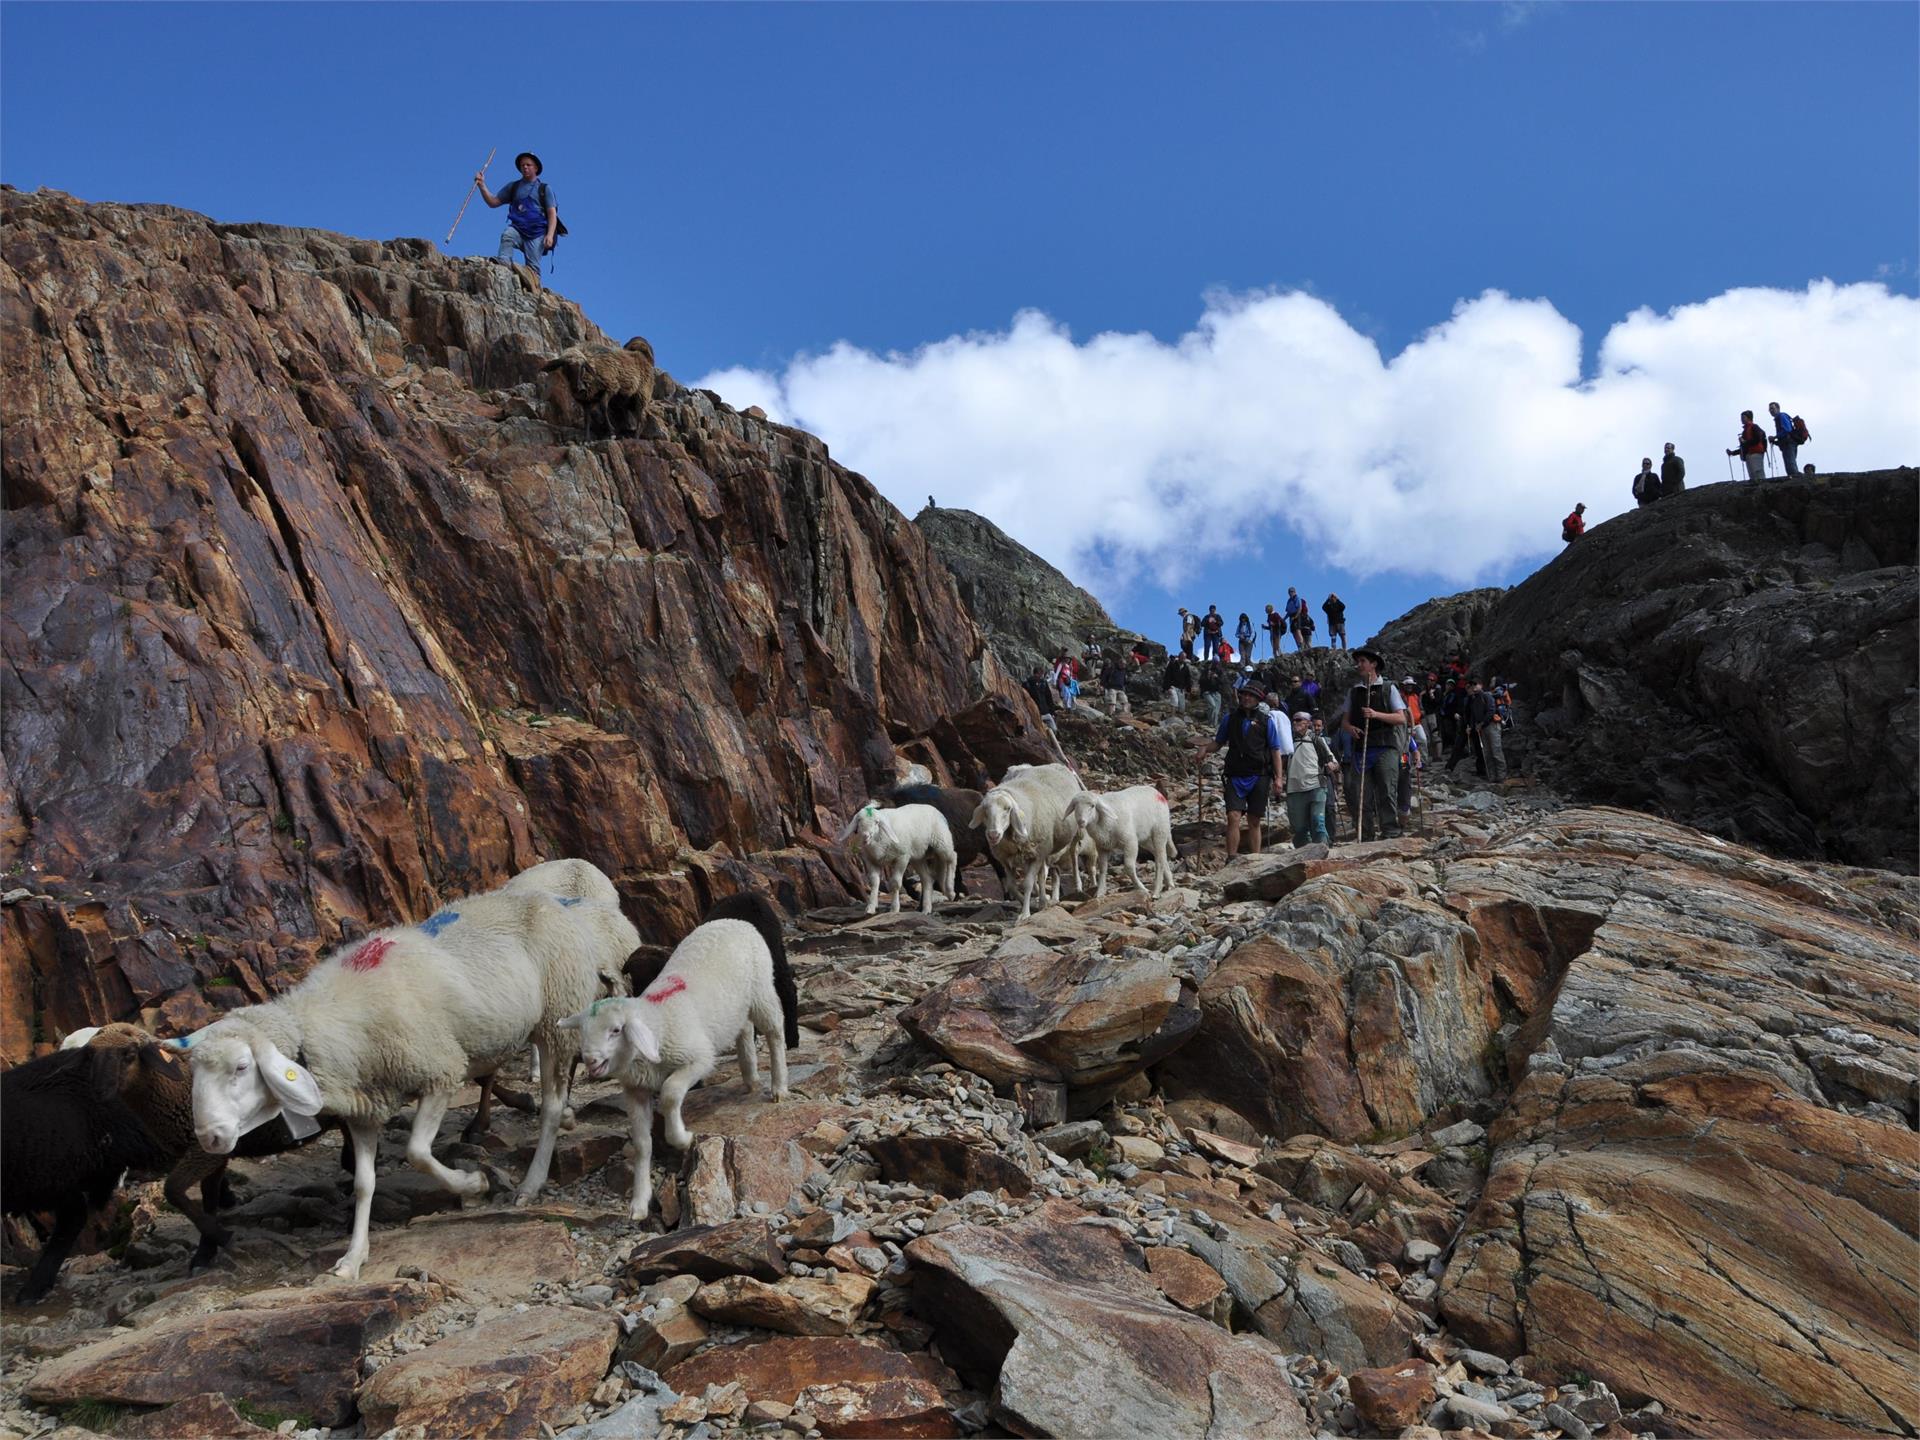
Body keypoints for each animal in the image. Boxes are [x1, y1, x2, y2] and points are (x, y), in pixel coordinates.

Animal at [178, 890, 637, 1282]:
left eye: (241, 1067)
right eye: (195, 1075)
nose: (209, 1137)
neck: (334, 1024)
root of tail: (554, 902)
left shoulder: (440, 1071)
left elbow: (417, 1152)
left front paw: (473, 1184)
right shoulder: (364, 1107)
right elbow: (364, 1184)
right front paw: (352, 1258)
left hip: (555, 1018)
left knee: (551, 1105)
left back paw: (531, 1181)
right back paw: (569, 1123)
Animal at [560, 898, 798, 1221]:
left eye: (616, 1030)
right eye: (582, 1032)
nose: (591, 1061)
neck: (656, 1021)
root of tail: (733, 921)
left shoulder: (696, 1059)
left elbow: (671, 1093)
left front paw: (683, 1138)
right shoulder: (635, 1089)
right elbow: (642, 1144)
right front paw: (639, 1202)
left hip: (762, 989)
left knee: (774, 1031)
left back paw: (779, 1086)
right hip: (735, 1008)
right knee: (744, 1031)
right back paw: (750, 1078)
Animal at [975, 760, 1082, 917]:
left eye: (1008, 809)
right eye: (985, 810)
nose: (993, 834)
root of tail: (1055, 764)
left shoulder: (1035, 855)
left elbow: (1027, 884)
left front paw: (1025, 914)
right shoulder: (1007, 858)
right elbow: (1012, 886)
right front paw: (1027, 902)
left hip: (1074, 833)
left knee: (1074, 856)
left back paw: (1077, 886)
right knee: (1044, 875)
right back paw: (1044, 900)